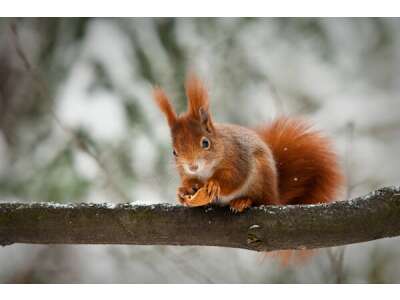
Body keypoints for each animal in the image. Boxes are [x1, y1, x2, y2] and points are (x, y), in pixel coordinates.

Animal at [153, 75, 344, 212]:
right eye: (174, 152)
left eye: (205, 143)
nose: (192, 166)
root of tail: (275, 196)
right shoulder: (186, 173)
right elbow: (188, 181)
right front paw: (183, 191)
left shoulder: (238, 159)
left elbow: (234, 179)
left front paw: (214, 185)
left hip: (261, 178)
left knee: (258, 199)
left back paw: (243, 201)